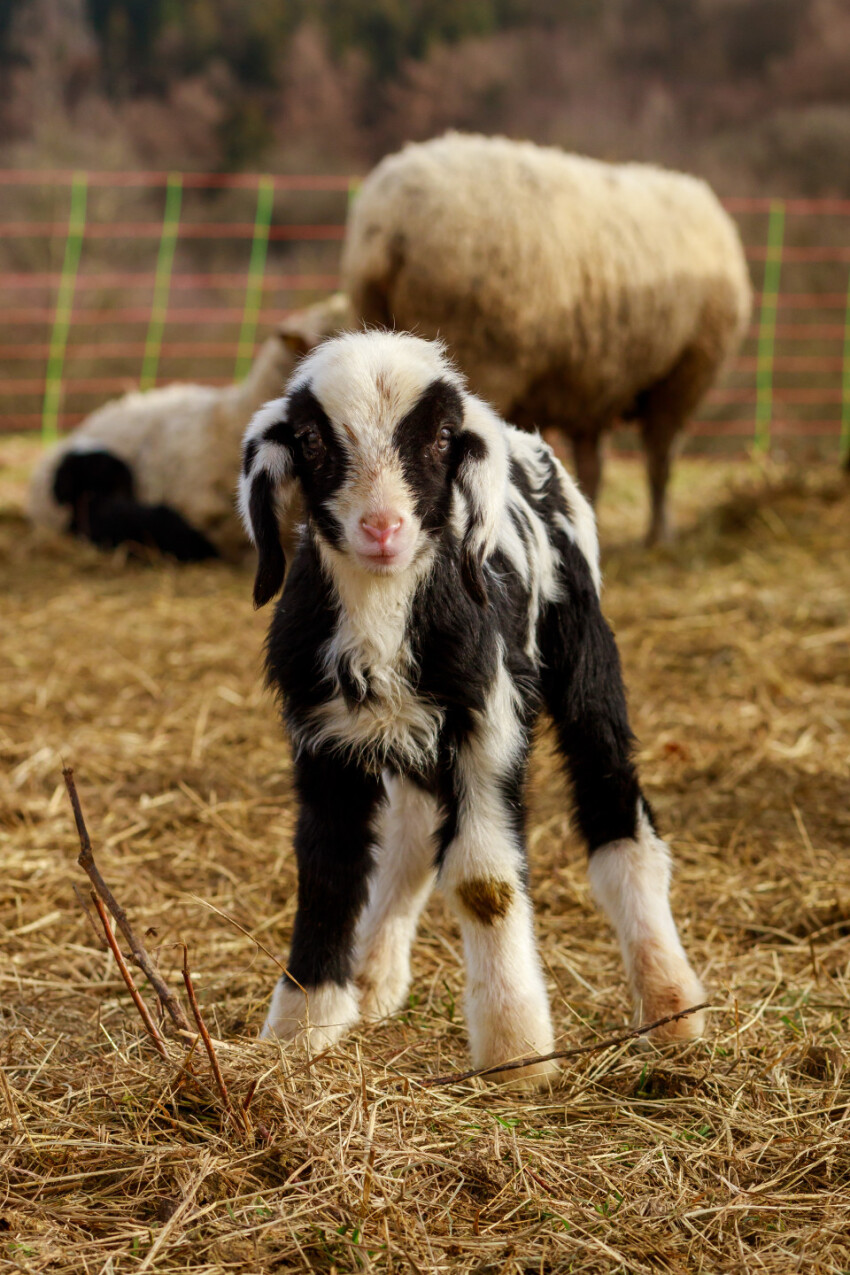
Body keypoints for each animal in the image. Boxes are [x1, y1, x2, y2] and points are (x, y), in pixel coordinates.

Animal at [239, 328, 703, 1086]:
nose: (383, 529)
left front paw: (515, 1053)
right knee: (410, 838)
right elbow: (329, 868)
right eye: (309, 438)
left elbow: (485, 882)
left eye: (441, 438)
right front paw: (299, 1031)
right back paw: (373, 978)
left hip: (585, 658)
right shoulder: (325, 739)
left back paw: (672, 1003)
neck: (385, 608)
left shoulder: (488, 727)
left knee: (616, 807)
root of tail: (526, 441)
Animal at [338, 131, 749, 540]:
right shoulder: (681, 377)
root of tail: (387, 233)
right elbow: (658, 460)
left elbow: (594, 467)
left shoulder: (594, 392)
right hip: (484, 356)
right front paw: (659, 535)